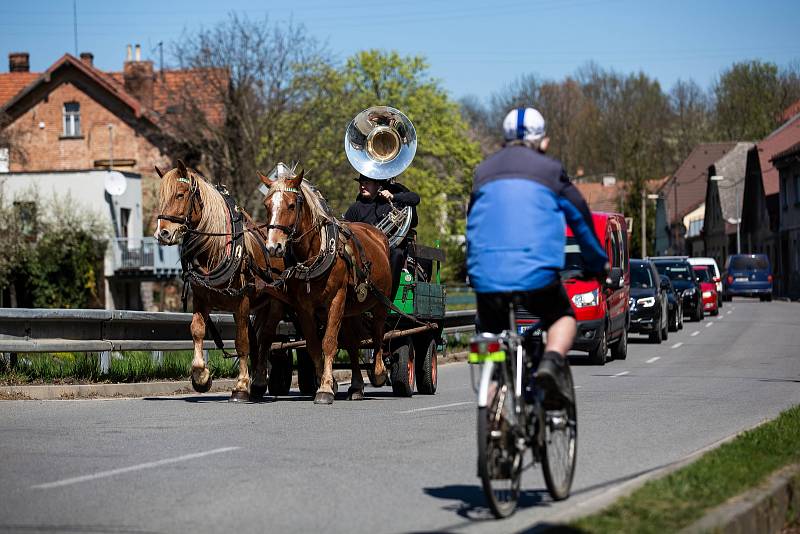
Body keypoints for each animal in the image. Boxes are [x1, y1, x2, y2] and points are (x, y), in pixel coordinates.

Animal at [154, 161, 284, 404]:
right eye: (161, 196)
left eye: (180, 194)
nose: (162, 233)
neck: (214, 251)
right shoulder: (201, 299)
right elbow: (197, 331)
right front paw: (201, 377)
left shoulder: (241, 302)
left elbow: (241, 341)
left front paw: (241, 386)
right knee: (259, 338)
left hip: (274, 304)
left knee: (265, 338)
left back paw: (258, 381)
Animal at [258, 170, 392, 404]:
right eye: (267, 205)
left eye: (291, 205)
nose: (274, 247)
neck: (316, 253)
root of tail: (377, 234)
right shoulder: (304, 307)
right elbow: (313, 345)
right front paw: (327, 382)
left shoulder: (336, 299)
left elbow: (329, 342)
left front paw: (326, 388)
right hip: (351, 310)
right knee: (353, 344)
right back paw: (356, 386)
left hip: (380, 302)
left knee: (377, 334)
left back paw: (379, 372)